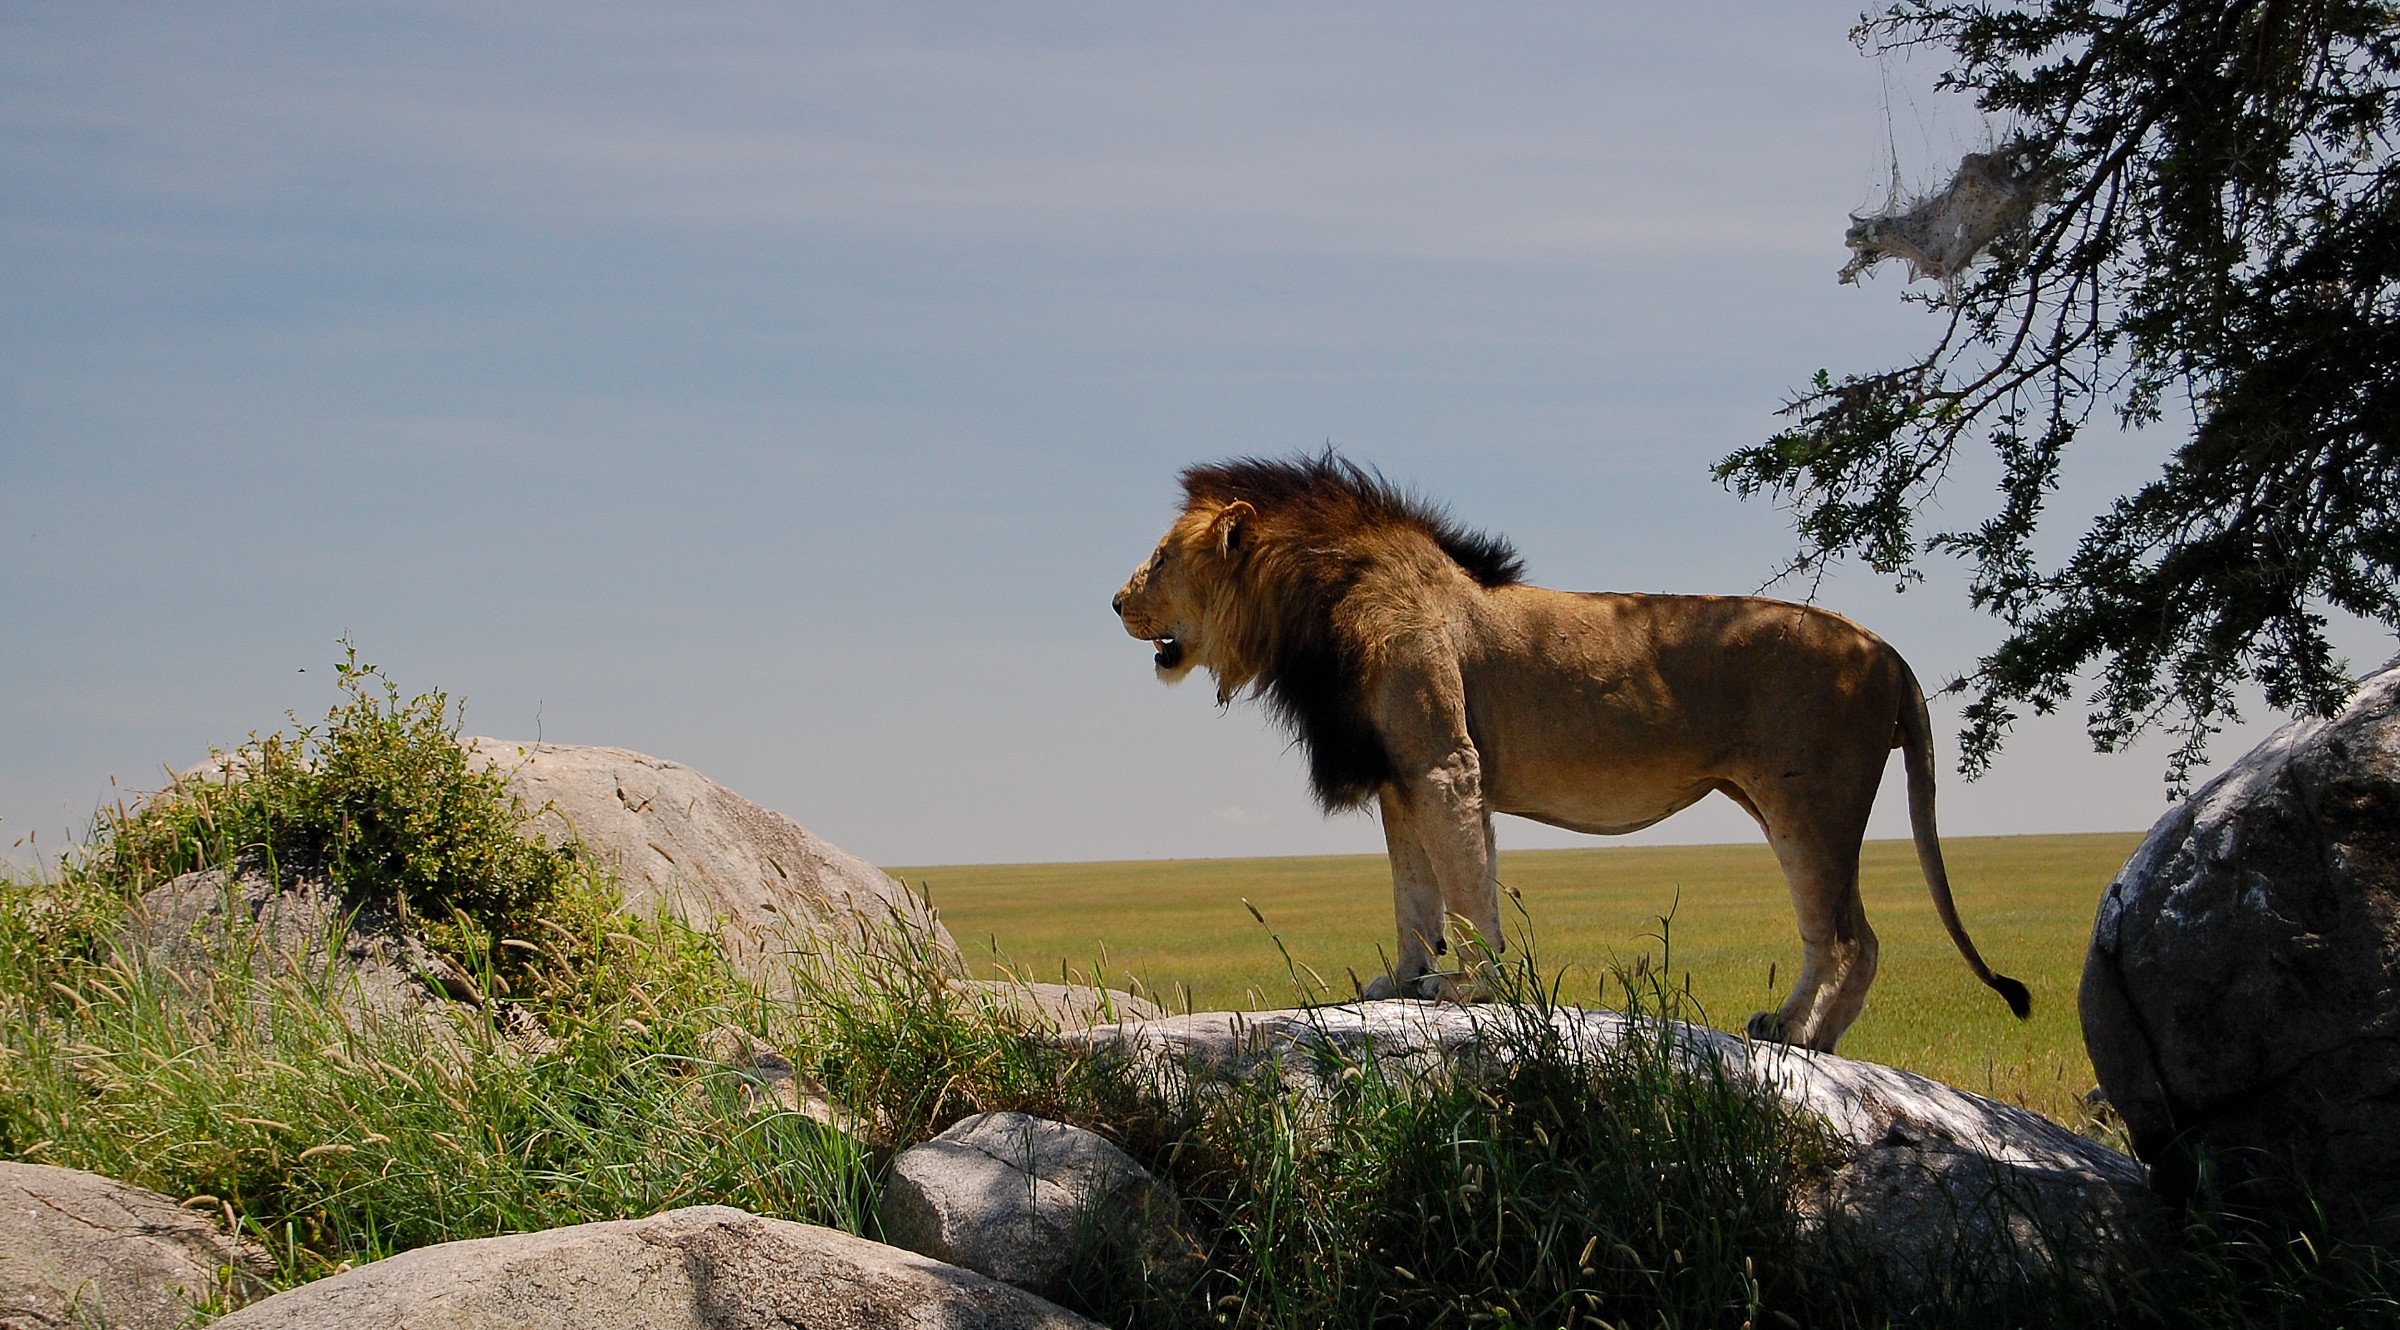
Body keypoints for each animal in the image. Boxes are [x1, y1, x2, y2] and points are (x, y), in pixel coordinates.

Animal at [1111, 453, 2029, 1051]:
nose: (1116, 600)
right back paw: (1797, 1030)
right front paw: (1401, 980)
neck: (1314, 602)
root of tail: (1888, 651)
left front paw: (1468, 986)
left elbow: (1464, 890)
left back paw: (1802, 1036)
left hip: (1812, 799)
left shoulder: (1445, 764)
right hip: (1785, 802)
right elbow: (1415, 894)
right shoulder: (1400, 779)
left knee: (1849, 939)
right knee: (1837, 932)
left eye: (1158, 557)